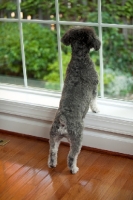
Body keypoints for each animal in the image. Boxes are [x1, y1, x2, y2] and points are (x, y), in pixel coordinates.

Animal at [47, 26, 101, 173]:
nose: (99, 43)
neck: (80, 59)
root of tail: (63, 121)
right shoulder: (94, 87)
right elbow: (94, 101)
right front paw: (96, 109)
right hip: (77, 138)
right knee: (72, 156)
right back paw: (74, 169)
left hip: (54, 137)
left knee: (53, 152)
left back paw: (52, 164)